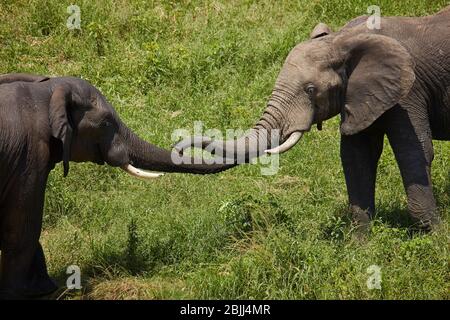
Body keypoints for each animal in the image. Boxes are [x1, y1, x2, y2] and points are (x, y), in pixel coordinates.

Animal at [0, 74, 234, 298]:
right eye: (105, 123)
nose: (181, 146)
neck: (45, 89)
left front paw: (43, 288)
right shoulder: (29, 156)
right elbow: (25, 221)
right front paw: (29, 292)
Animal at [176, 6, 450, 232]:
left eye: (310, 90)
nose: (178, 147)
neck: (343, 38)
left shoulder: (409, 93)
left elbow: (414, 153)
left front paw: (434, 238)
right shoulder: (361, 94)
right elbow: (356, 157)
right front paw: (358, 247)